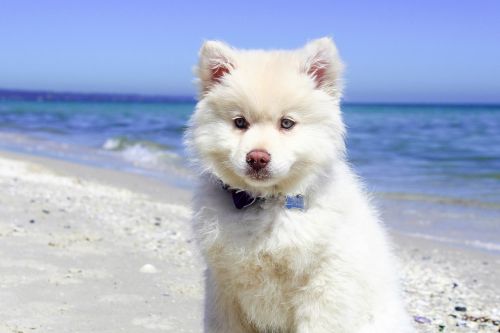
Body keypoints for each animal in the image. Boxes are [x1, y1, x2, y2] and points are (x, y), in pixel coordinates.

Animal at [186, 37, 412, 330]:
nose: (257, 158)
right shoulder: (223, 288)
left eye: (287, 123)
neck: (265, 204)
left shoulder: (323, 287)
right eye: (240, 122)